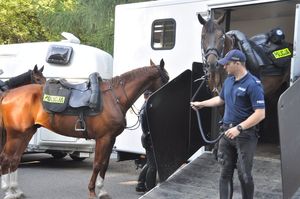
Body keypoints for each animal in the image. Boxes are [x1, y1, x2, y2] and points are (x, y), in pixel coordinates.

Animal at [0, 59, 169, 199]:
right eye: (165, 79)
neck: (114, 98)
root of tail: (9, 93)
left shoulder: (110, 139)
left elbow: (104, 165)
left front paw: (102, 191)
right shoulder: (103, 138)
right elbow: (98, 164)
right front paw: (93, 191)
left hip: (26, 133)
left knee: (14, 159)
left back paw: (16, 191)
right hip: (15, 134)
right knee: (7, 159)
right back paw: (8, 192)